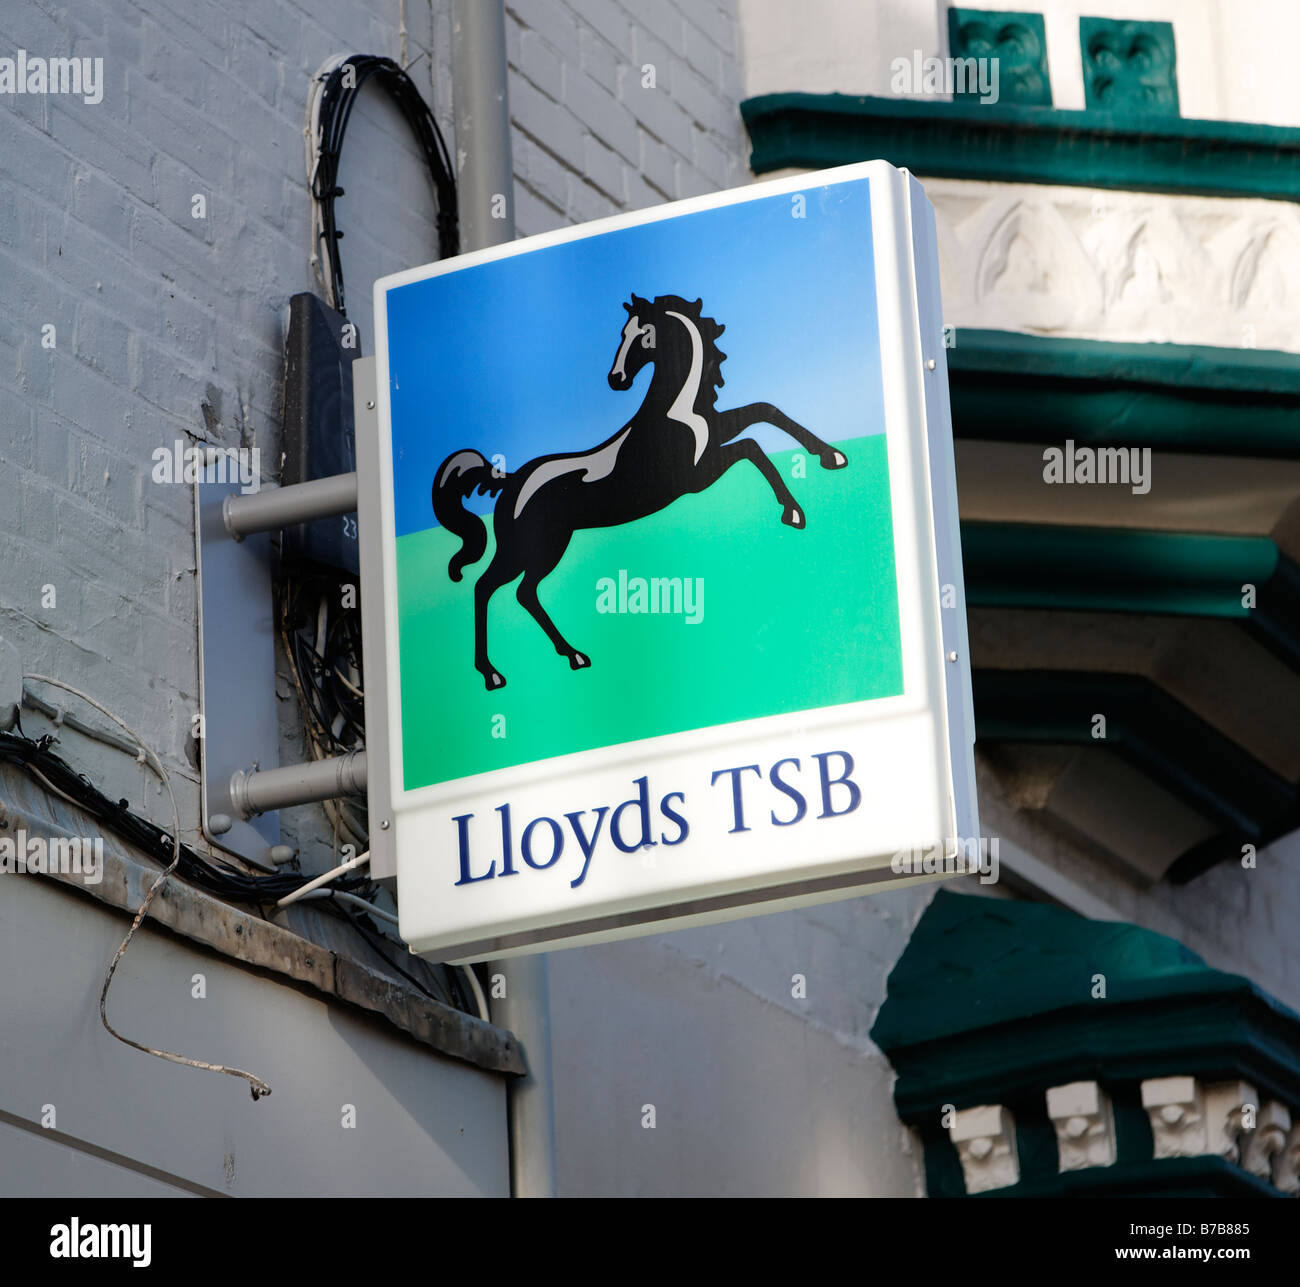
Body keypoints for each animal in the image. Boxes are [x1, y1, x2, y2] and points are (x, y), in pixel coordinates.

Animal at [431, 295, 847, 696]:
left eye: (643, 336)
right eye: (623, 333)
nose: (616, 379)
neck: (675, 411)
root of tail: (512, 479)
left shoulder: (715, 434)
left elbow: (765, 411)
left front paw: (831, 457)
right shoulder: (696, 477)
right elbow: (752, 447)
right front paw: (793, 511)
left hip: (545, 547)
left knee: (524, 593)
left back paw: (573, 655)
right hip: (528, 547)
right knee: (486, 588)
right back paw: (493, 674)